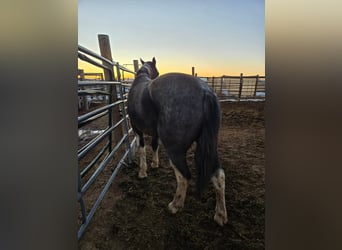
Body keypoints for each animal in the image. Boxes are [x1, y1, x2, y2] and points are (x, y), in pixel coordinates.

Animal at [125, 57, 227, 226]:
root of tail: (205, 92)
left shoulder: (137, 128)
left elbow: (142, 149)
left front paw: (142, 172)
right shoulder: (155, 133)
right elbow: (154, 146)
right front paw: (155, 164)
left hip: (175, 151)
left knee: (184, 176)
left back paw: (175, 205)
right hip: (210, 147)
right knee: (219, 176)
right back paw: (220, 215)